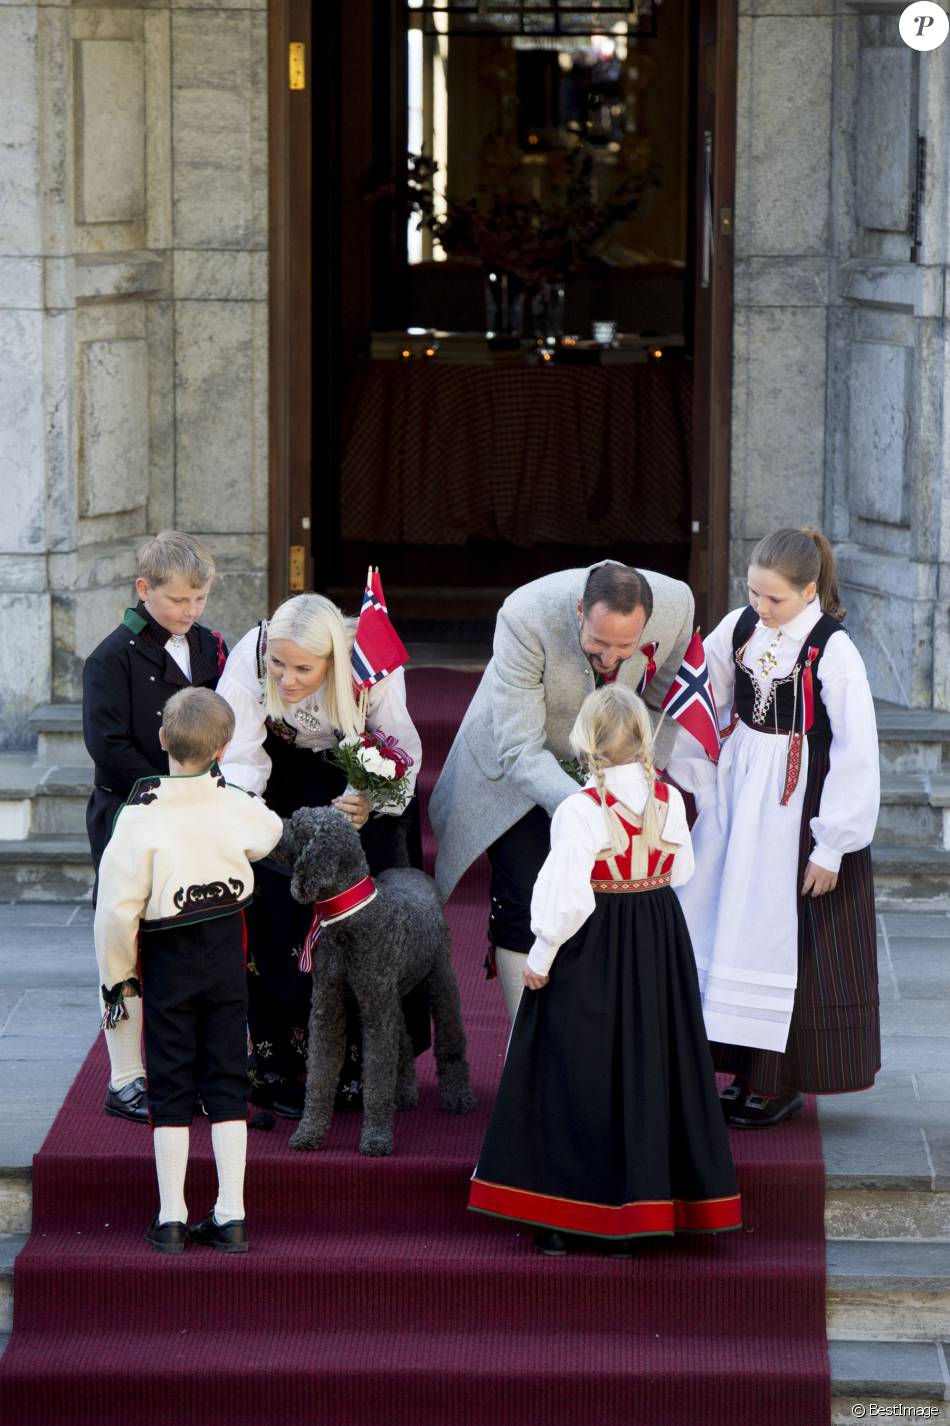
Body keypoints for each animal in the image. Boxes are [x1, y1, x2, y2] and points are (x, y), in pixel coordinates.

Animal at [279, 809, 473, 1152]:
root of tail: (406, 868)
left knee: (450, 1038)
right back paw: (405, 1092)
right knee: (404, 1039)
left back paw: (458, 1096)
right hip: (391, 995)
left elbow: (377, 1075)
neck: (349, 921)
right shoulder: (328, 1008)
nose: (276, 828)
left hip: (440, 976)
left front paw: (377, 1137)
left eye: (297, 823)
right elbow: (319, 1075)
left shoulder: (376, 1013)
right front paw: (308, 1133)